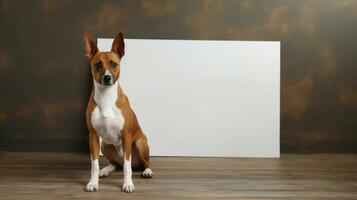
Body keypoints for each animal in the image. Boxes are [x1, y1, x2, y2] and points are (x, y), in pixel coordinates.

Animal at [82, 32, 152, 192]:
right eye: (97, 65)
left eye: (114, 64)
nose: (107, 78)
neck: (106, 97)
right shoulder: (93, 136)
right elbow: (94, 164)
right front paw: (93, 182)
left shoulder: (126, 135)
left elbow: (127, 166)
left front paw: (128, 184)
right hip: (104, 145)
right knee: (116, 164)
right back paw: (105, 170)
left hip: (139, 143)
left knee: (143, 162)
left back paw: (147, 171)